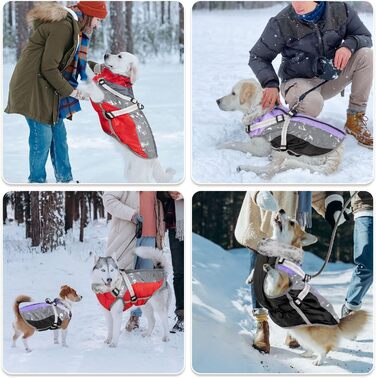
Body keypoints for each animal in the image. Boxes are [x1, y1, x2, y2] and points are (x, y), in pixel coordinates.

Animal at [81, 52, 175, 184]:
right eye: (117, 53)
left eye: (120, 56)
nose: (106, 54)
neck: (117, 78)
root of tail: (154, 159)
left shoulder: (100, 95)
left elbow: (92, 85)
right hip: (130, 173)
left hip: (137, 174)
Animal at [268, 210, 368, 366]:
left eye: (292, 222)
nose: (282, 210)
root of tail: (338, 323)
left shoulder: (282, 280)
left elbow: (275, 276)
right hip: (300, 334)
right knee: (311, 348)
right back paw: (306, 354)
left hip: (312, 334)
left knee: (325, 348)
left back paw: (319, 360)